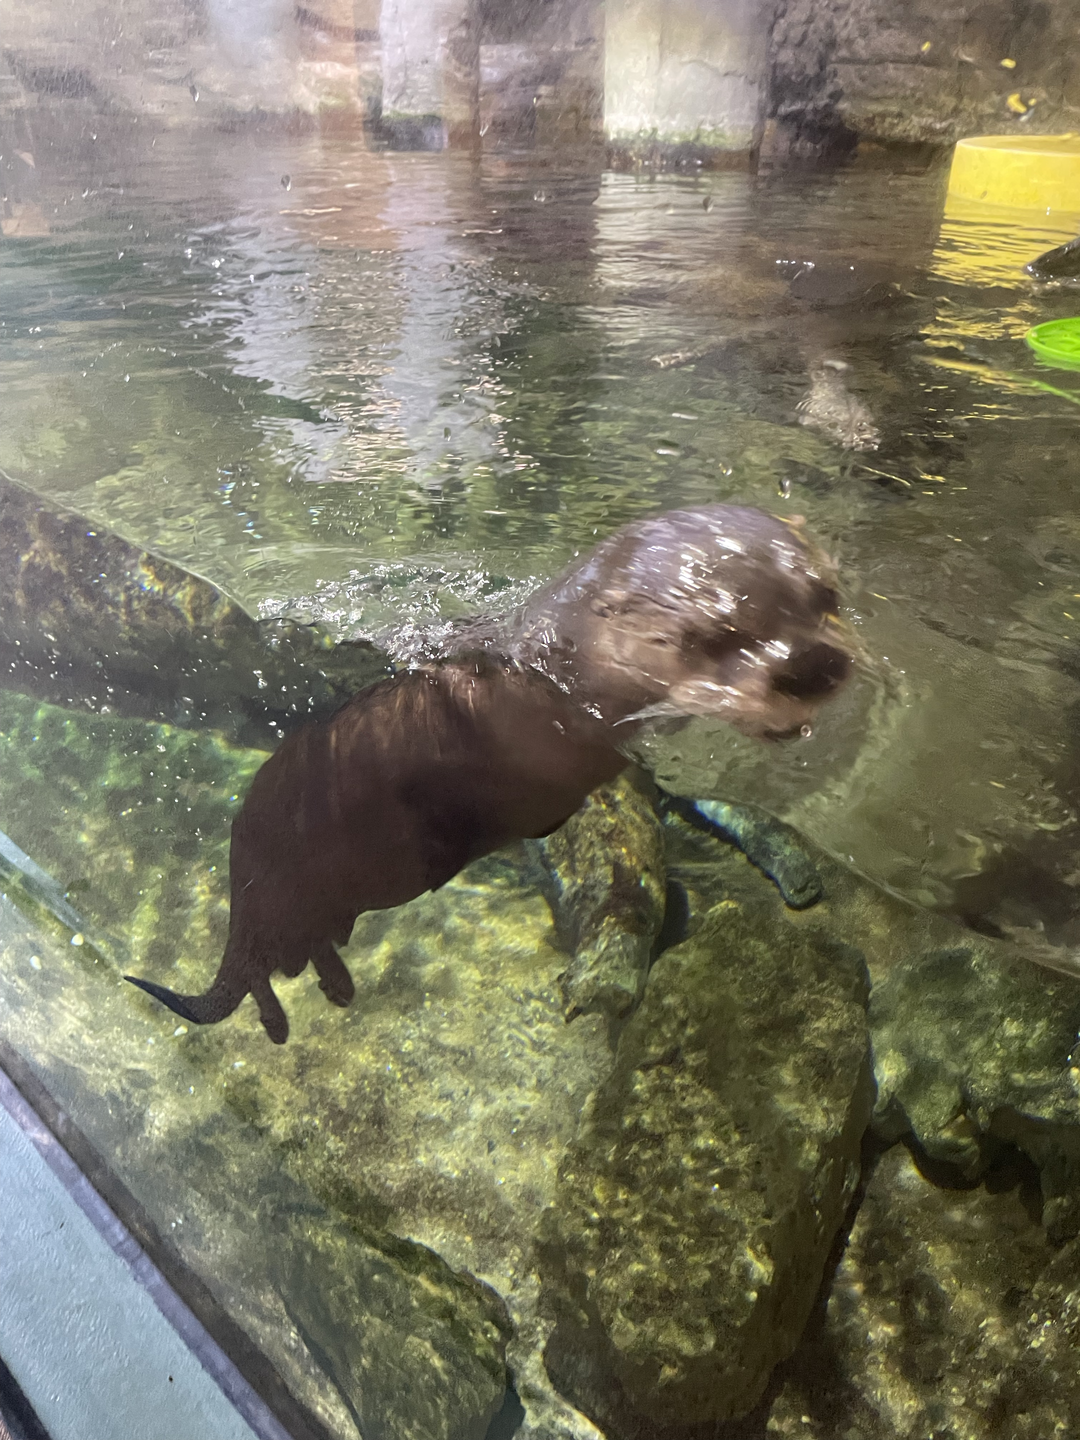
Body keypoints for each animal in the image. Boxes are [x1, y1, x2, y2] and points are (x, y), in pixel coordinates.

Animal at [127, 505, 853, 1042]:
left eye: (828, 596)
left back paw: (334, 981)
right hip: (272, 881)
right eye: (715, 636)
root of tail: (236, 860)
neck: (539, 686)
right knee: (255, 965)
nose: (815, 664)